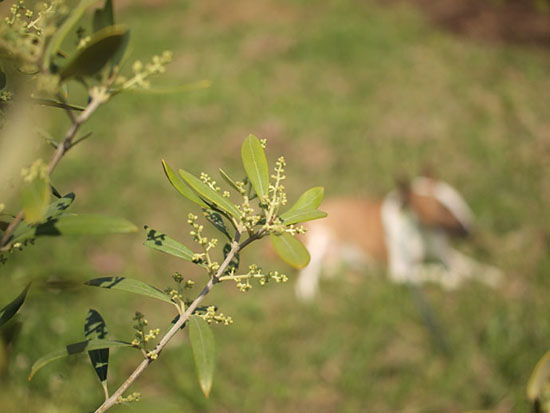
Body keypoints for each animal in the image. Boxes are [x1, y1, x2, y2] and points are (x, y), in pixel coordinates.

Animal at [298, 175, 504, 300]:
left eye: (457, 200)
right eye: (440, 211)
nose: (471, 231)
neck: (421, 232)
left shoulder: (445, 254)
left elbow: (470, 266)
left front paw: (492, 276)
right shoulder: (400, 270)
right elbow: (432, 271)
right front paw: (450, 278)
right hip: (317, 244)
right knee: (306, 279)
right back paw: (308, 294)